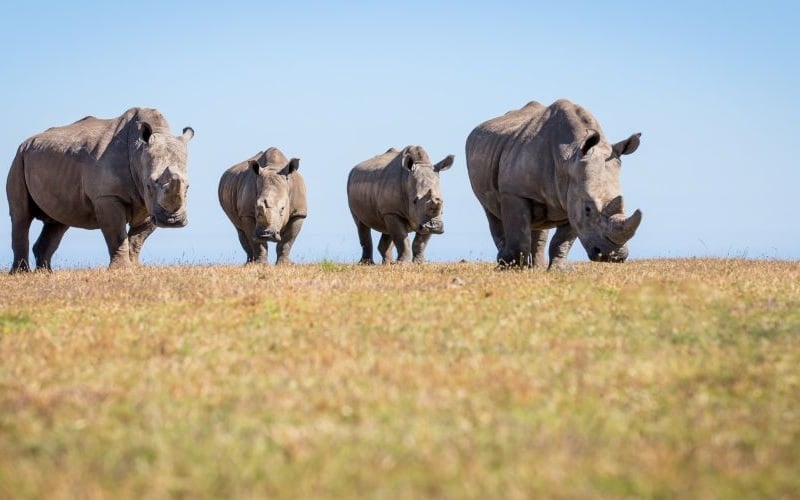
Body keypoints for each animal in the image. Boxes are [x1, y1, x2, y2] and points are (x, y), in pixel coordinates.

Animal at [6, 107, 194, 273]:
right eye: (149, 184)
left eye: (188, 187)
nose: (172, 221)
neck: (138, 152)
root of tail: (26, 142)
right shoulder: (107, 196)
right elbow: (117, 234)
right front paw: (121, 270)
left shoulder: (150, 205)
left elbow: (137, 239)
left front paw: (135, 268)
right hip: (19, 158)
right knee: (21, 216)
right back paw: (21, 273)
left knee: (58, 221)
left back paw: (46, 273)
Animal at [466, 99, 642, 269]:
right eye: (588, 210)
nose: (613, 256)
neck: (568, 159)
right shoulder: (514, 192)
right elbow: (519, 236)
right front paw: (511, 269)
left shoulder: (573, 196)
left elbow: (562, 241)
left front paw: (559, 270)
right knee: (492, 212)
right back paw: (505, 263)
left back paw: (536, 268)